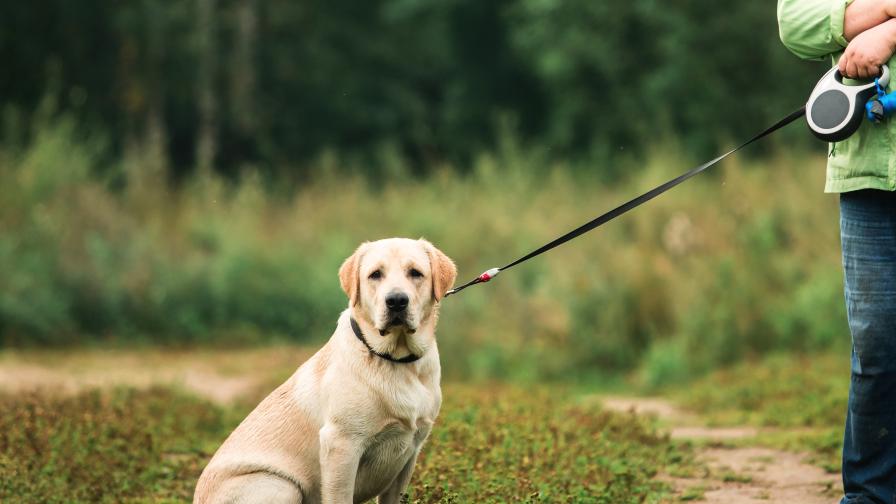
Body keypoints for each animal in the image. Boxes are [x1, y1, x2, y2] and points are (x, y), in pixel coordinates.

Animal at [194, 239, 456, 504]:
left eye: (415, 273)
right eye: (375, 274)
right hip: (280, 484)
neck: (396, 360)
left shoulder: (411, 451)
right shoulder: (341, 445)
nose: (396, 300)